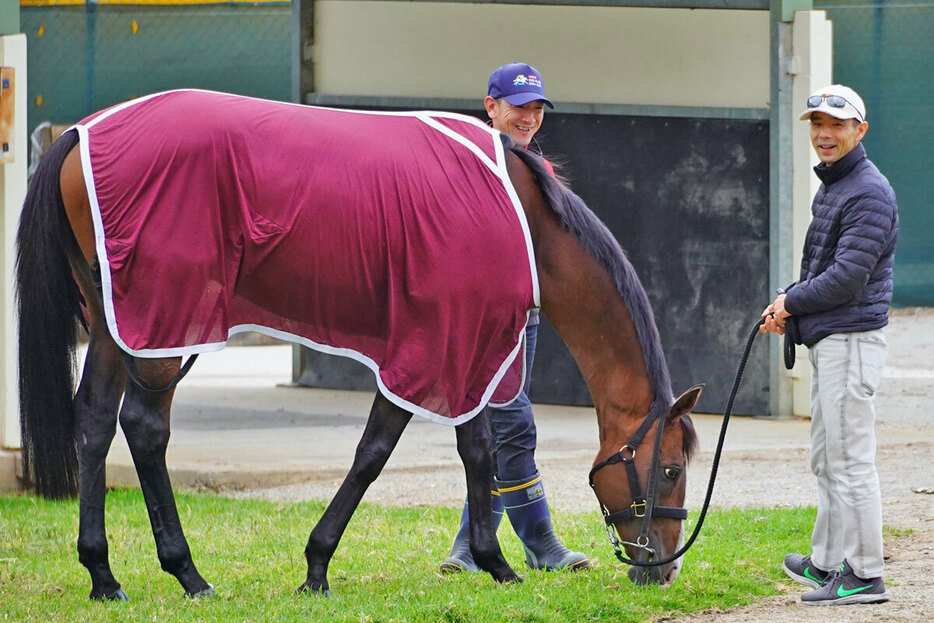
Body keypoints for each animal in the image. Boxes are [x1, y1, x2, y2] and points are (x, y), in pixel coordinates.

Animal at [14, 90, 704, 604]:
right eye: (670, 468)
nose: (663, 569)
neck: (522, 220)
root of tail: (80, 133)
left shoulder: (465, 350)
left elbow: (471, 450)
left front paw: (493, 564)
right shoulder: (437, 346)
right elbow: (381, 452)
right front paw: (319, 567)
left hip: (115, 320)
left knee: (95, 422)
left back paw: (103, 575)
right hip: (165, 322)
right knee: (144, 426)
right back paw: (187, 573)